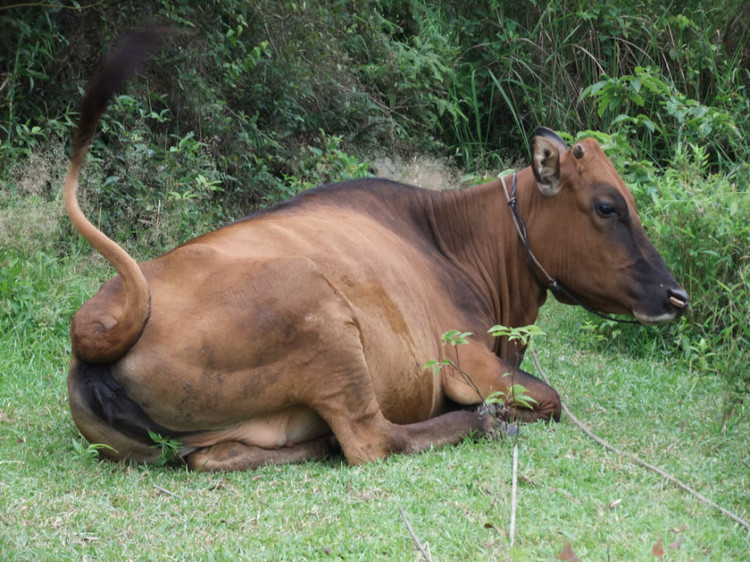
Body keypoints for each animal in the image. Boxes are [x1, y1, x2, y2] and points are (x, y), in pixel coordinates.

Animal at [64, 29, 688, 468]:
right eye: (607, 206)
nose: (676, 295)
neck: (456, 245)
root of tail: (101, 325)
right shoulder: (467, 357)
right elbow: (551, 398)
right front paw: (489, 410)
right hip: (322, 320)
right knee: (372, 440)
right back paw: (480, 422)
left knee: (222, 457)